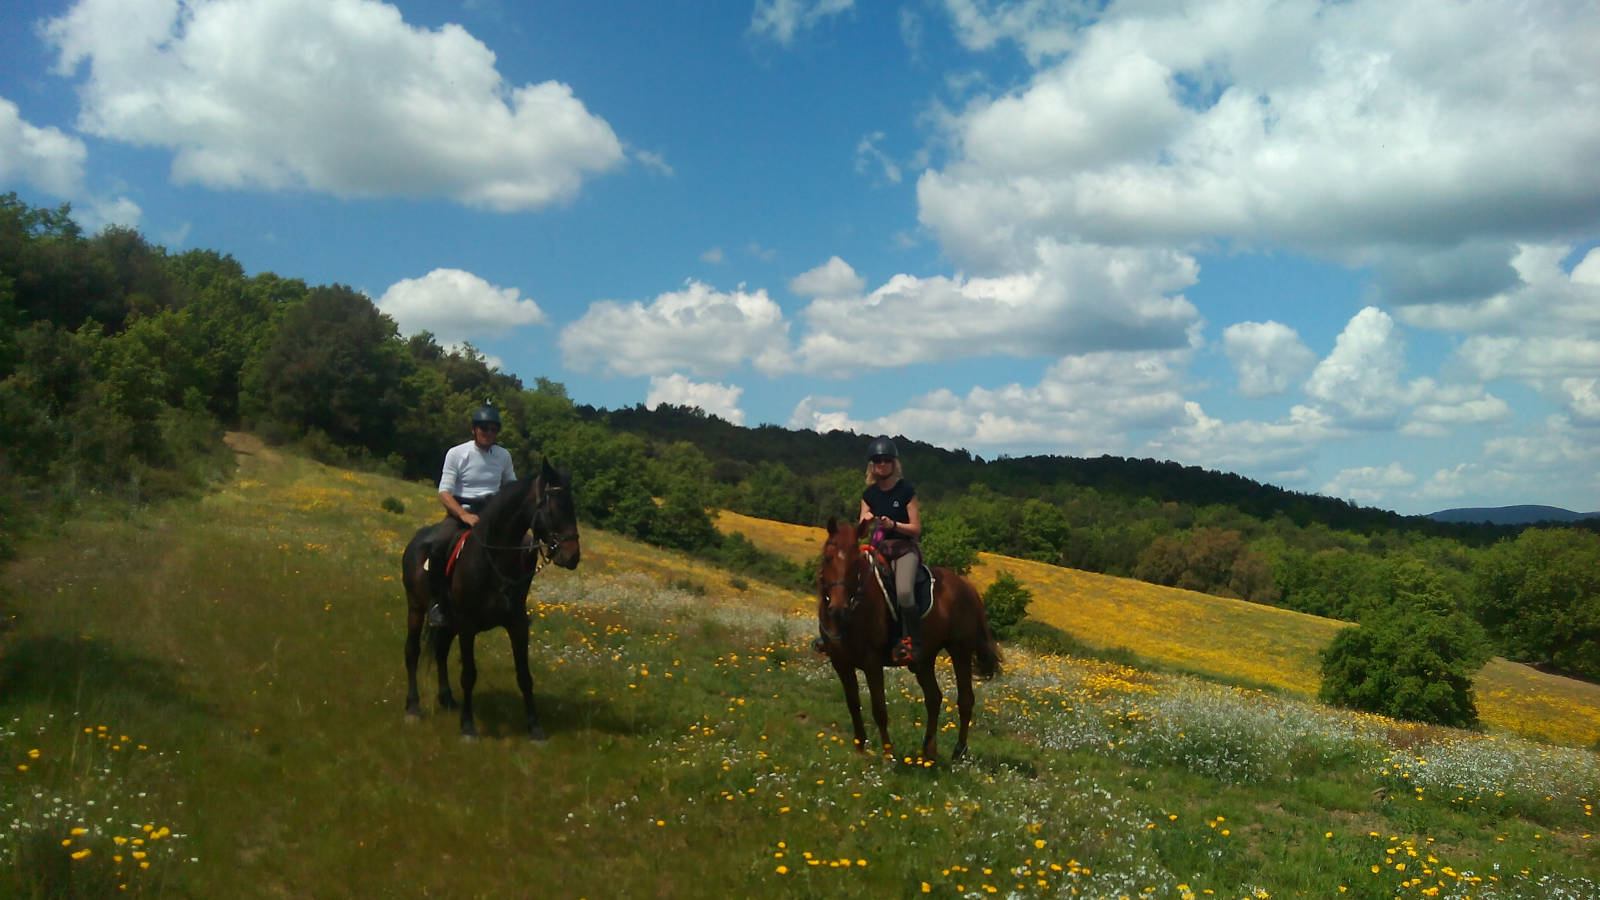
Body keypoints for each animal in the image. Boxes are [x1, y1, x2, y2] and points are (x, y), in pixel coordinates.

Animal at [400, 458, 582, 739]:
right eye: (553, 508)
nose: (572, 556)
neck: (494, 560)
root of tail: (416, 541)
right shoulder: (467, 626)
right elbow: (468, 674)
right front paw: (468, 726)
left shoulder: (517, 625)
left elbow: (524, 676)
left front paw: (535, 728)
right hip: (417, 607)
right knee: (412, 651)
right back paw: (413, 707)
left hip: (448, 622)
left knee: (440, 651)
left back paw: (447, 699)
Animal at [812, 515, 998, 759]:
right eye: (827, 558)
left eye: (855, 562)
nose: (838, 608)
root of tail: (968, 587)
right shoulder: (840, 663)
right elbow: (853, 705)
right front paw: (860, 749)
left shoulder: (872, 662)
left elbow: (879, 709)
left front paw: (887, 754)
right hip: (923, 659)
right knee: (933, 698)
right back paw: (928, 750)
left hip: (960, 651)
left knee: (965, 699)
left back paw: (959, 751)